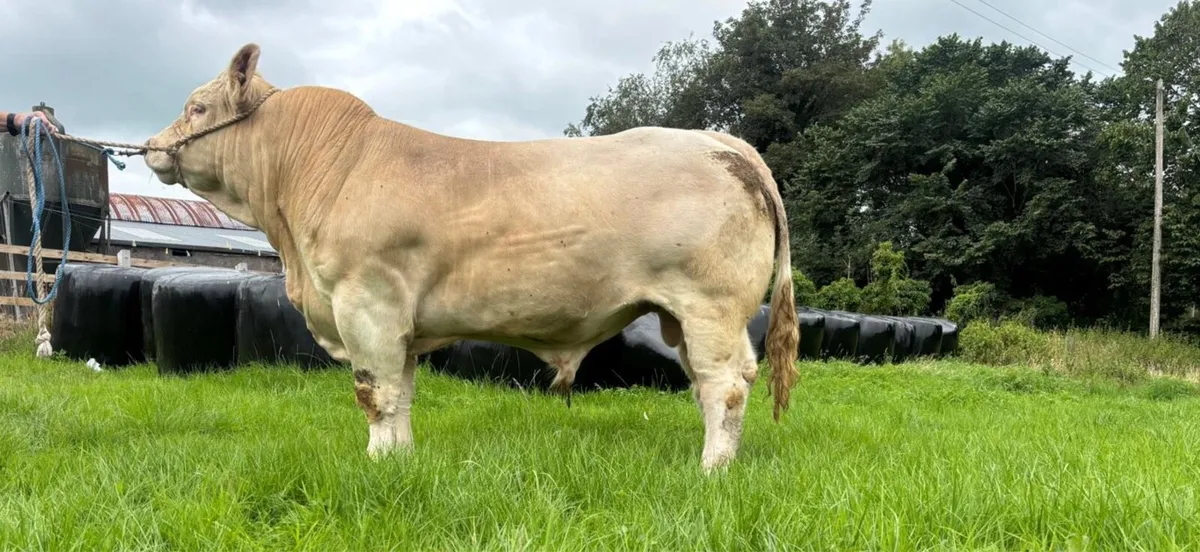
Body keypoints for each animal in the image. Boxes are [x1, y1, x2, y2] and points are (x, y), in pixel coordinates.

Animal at [143, 43, 800, 473]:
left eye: (197, 107)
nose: (149, 147)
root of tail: (724, 144)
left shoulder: (366, 303)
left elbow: (373, 392)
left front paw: (376, 463)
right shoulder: (398, 323)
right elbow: (402, 393)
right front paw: (401, 462)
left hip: (709, 306)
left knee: (725, 386)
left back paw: (711, 471)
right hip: (688, 318)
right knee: (718, 382)